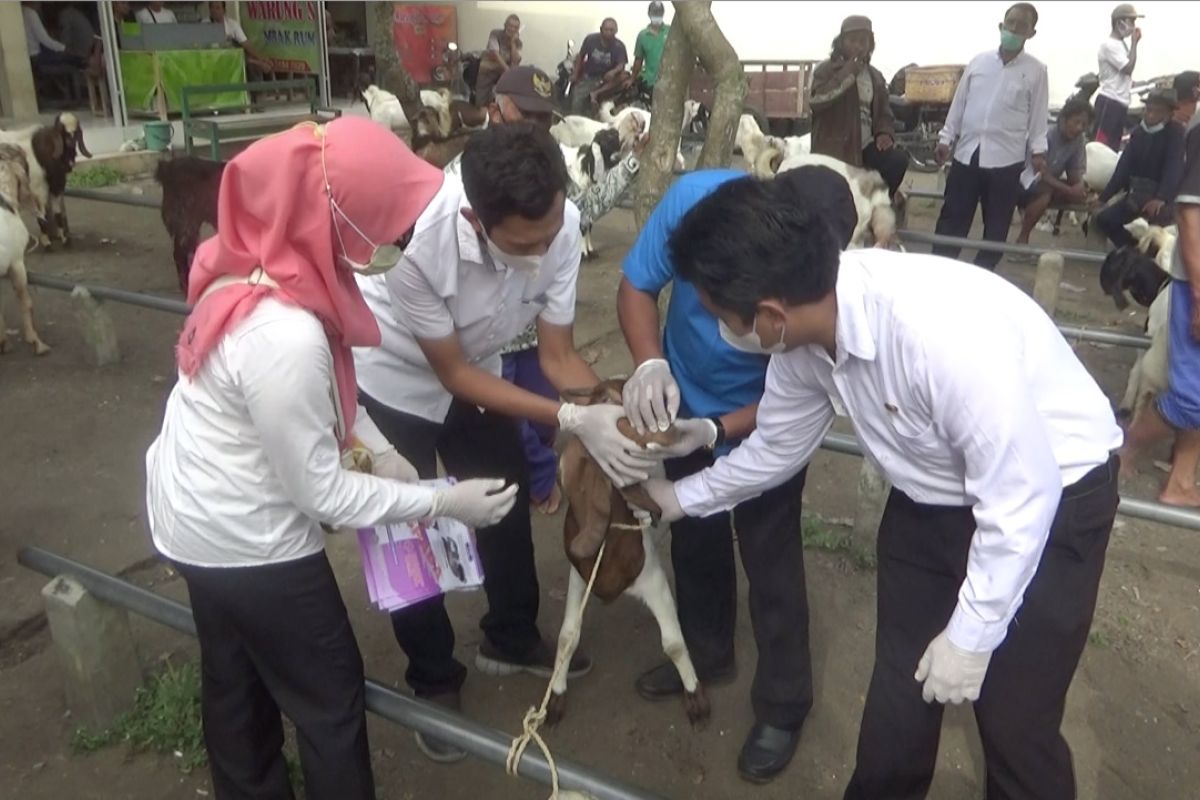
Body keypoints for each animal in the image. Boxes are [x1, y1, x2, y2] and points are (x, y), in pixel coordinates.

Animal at [547, 383, 710, 734]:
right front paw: (556, 696)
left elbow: (673, 643)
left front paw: (695, 696)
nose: (677, 427)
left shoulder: (653, 580)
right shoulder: (579, 577)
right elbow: (567, 636)